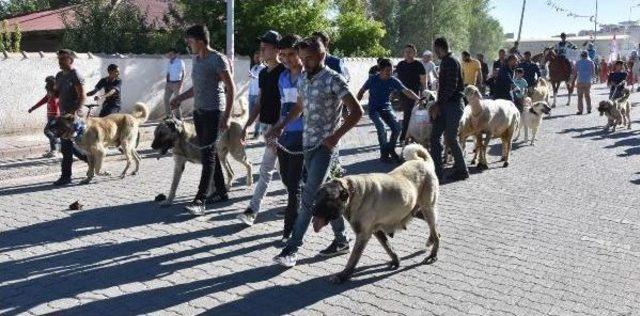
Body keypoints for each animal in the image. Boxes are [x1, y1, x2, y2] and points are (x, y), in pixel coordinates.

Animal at [310, 143, 440, 284]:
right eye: (316, 196)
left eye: (327, 199)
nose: (312, 210)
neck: (353, 193)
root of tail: (423, 162)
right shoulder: (377, 230)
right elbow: (388, 247)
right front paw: (396, 261)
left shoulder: (363, 235)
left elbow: (353, 258)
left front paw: (343, 275)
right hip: (417, 211)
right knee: (435, 229)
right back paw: (431, 241)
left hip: (427, 208)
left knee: (435, 230)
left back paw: (433, 255)